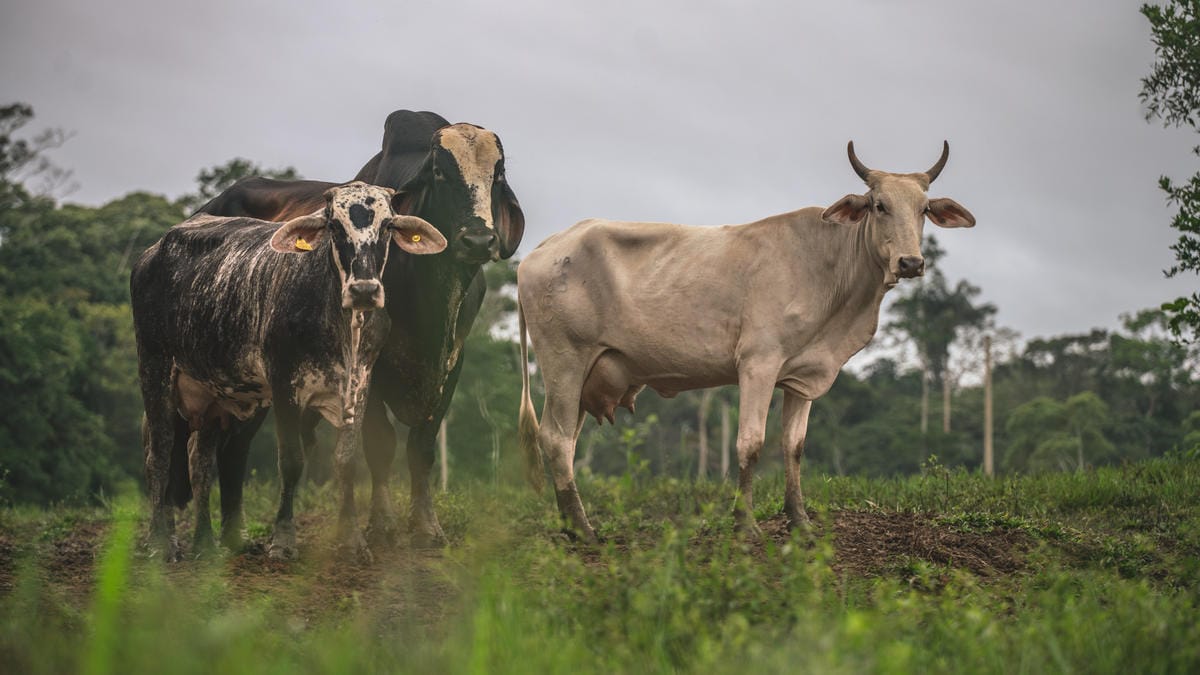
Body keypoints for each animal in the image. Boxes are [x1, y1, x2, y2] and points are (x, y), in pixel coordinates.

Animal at [131, 182, 447, 561]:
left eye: (387, 225)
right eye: (334, 225)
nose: (364, 290)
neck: (341, 324)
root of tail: (153, 250)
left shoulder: (359, 387)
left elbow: (346, 460)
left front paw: (352, 539)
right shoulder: (284, 387)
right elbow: (291, 462)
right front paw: (282, 540)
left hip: (210, 390)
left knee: (199, 462)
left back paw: (204, 543)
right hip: (155, 368)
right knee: (159, 453)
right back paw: (161, 541)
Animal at [190, 110, 524, 549]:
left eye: (497, 174)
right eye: (439, 171)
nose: (479, 240)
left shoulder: (453, 363)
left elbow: (422, 448)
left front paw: (426, 526)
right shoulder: (370, 366)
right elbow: (381, 445)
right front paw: (381, 523)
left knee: (235, 448)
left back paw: (236, 536)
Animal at [517, 142, 976, 542]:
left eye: (923, 209)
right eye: (879, 205)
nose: (911, 262)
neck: (831, 271)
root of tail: (542, 249)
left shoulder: (803, 376)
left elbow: (794, 446)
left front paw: (800, 521)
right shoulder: (758, 363)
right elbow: (751, 443)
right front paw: (746, 524)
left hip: (582, 378)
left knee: (566, 443)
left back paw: (571, 525)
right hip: (564, 362)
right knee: (556, 439)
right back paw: (584, 531)